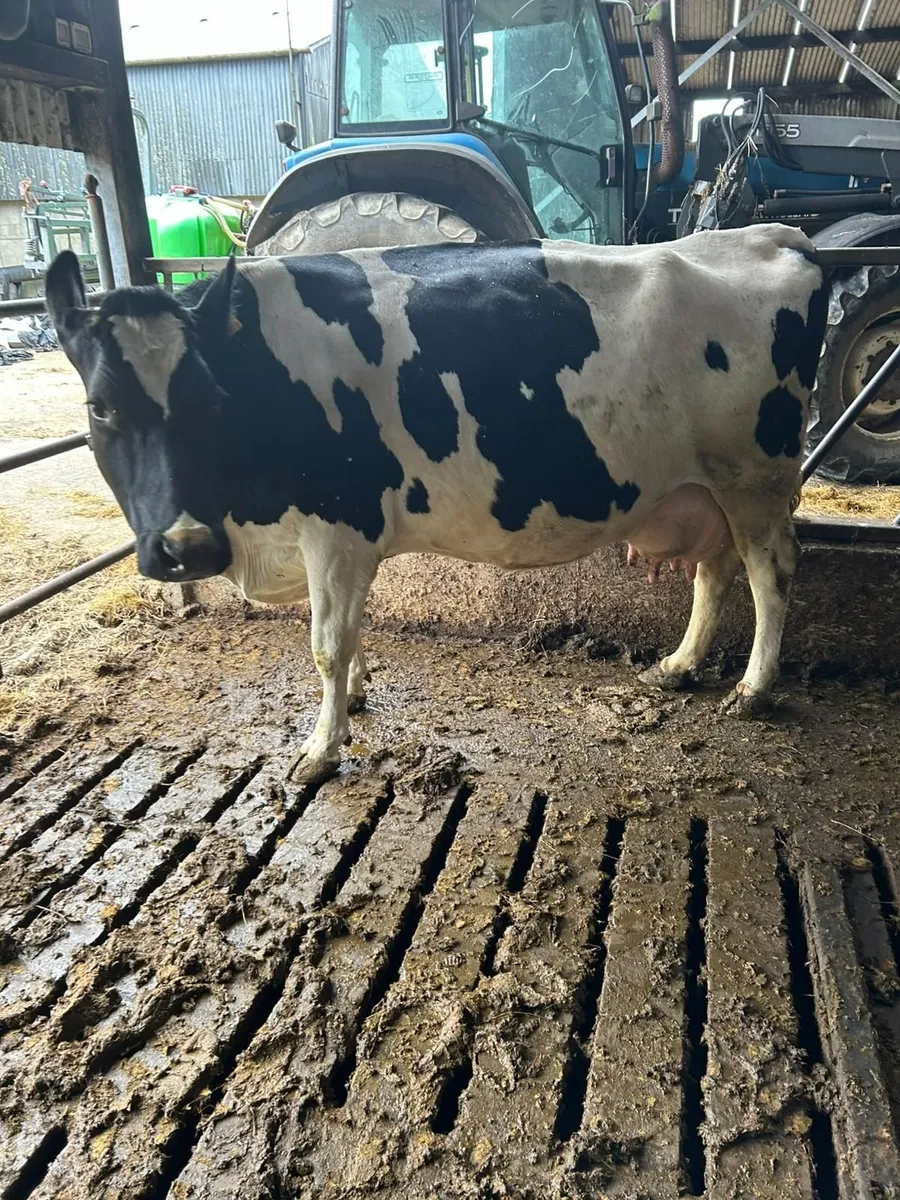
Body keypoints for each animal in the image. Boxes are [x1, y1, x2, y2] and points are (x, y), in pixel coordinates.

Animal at [45, 225, 827, 781]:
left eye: (208, 398)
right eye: (100, 406)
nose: (187, 548)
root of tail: (770, 236)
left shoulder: (338, 523)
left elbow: (326, 643)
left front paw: (321, 749)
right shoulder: (333, 542)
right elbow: (351, 632)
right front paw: (356, 696)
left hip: (754, 477)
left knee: (772, 573)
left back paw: (753, 689)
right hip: (710, 488)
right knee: (716, 573)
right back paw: (678, 666)